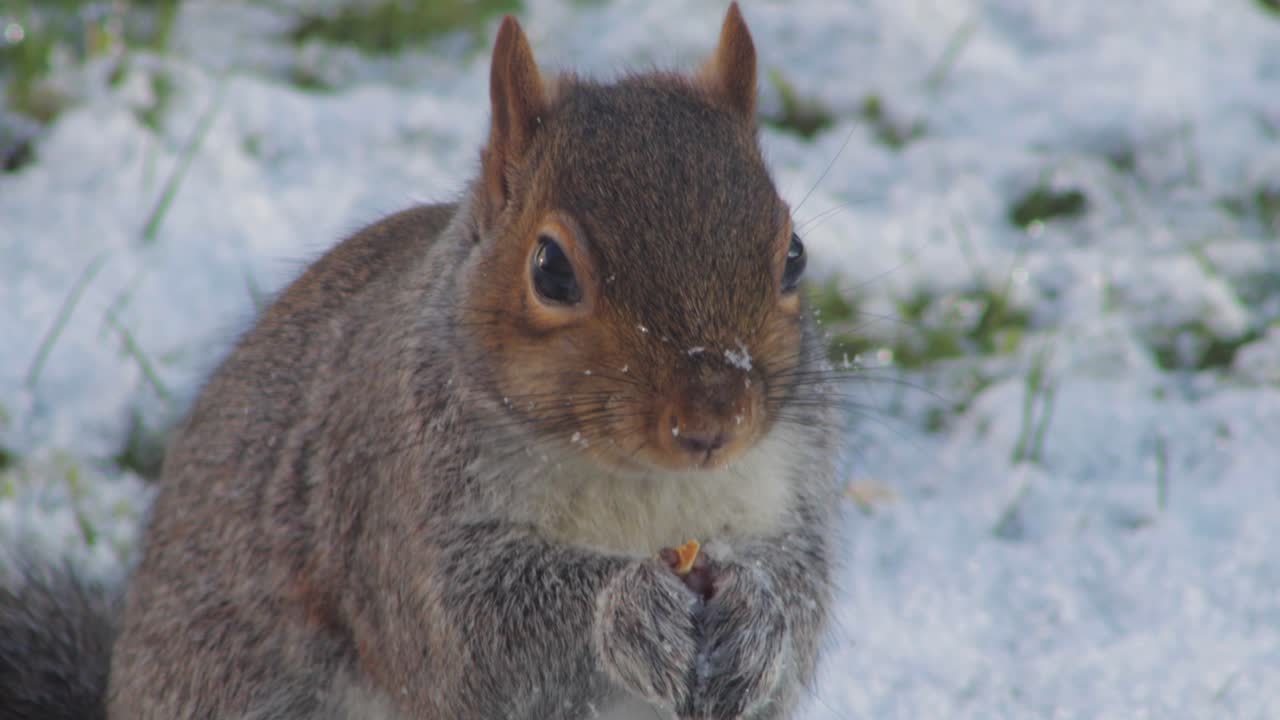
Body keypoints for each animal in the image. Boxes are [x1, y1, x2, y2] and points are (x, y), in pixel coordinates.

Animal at [0, 4, 841, 719]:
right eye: (551, 270)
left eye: (794, 255)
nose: (714, 418)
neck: (641, 489)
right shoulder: (394, 502)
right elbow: (482, 635)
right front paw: (629, 605)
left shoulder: (789, 483)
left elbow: (802, 592)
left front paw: (760, 615)